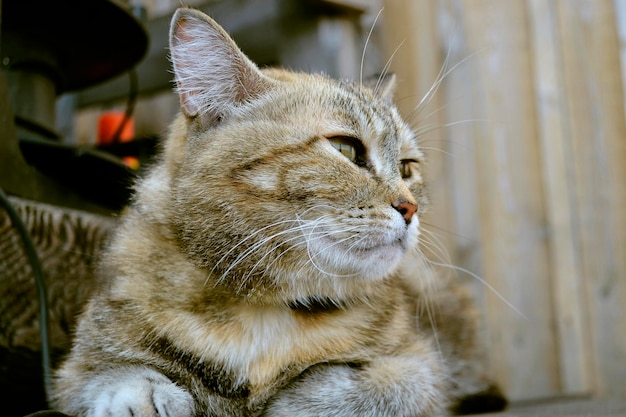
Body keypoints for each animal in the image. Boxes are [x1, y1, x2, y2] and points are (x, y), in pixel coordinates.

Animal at [51, 7, 504, 416]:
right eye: (345, 149)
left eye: (408, 168)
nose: (410, 208)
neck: (262, 312)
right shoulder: (75, 370)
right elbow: (116, 376)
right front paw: (148, 396)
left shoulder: (422, 366)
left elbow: (364, 386)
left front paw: (290, 400)